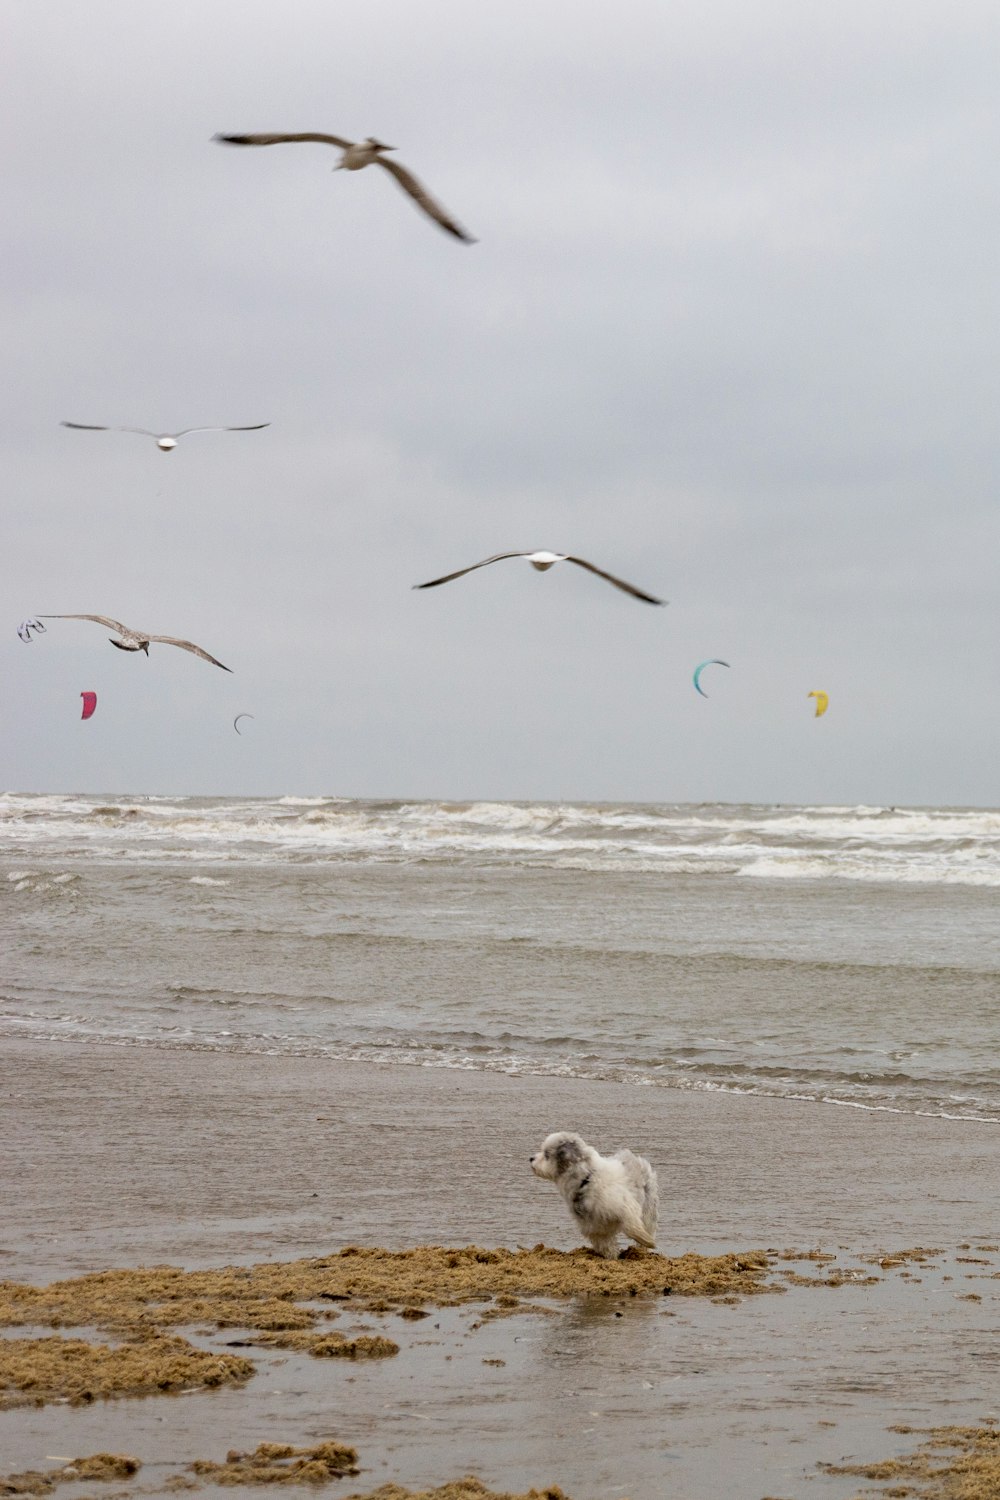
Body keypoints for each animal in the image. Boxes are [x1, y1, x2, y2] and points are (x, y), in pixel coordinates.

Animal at [527, 1128, 659, 1260]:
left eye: (546, 1154)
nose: (531, 1158)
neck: (586, 1180)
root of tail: (637, 1159)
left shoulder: (624, 1207)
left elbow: (631, 1227)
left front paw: (647, 1241)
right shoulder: (594, 1225)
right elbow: (605, 1243)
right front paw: (612, 1257)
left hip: (648, 1207)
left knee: (647, 1224)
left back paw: (642, 1248)